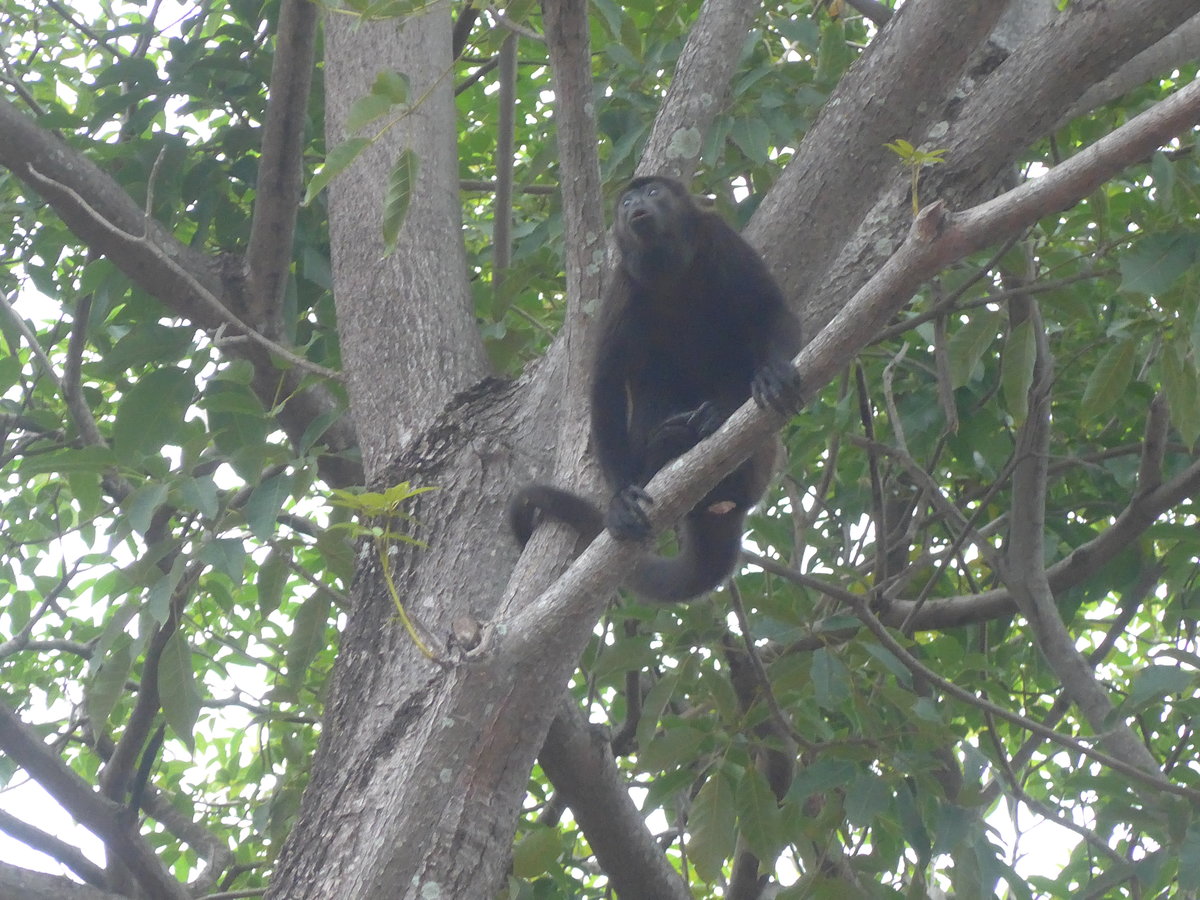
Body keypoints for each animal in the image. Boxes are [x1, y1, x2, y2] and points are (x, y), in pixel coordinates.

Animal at [508, 175, 804, 602]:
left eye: (653, 193)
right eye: (626, 201)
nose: (635, 205)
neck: (669, 273)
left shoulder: (721, 238)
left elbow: (771, 308)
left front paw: (773, 374)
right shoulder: (621, 287)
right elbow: (606, 383)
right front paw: (620, 500)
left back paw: (717, 418)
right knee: (652, 390)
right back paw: (669, 444)